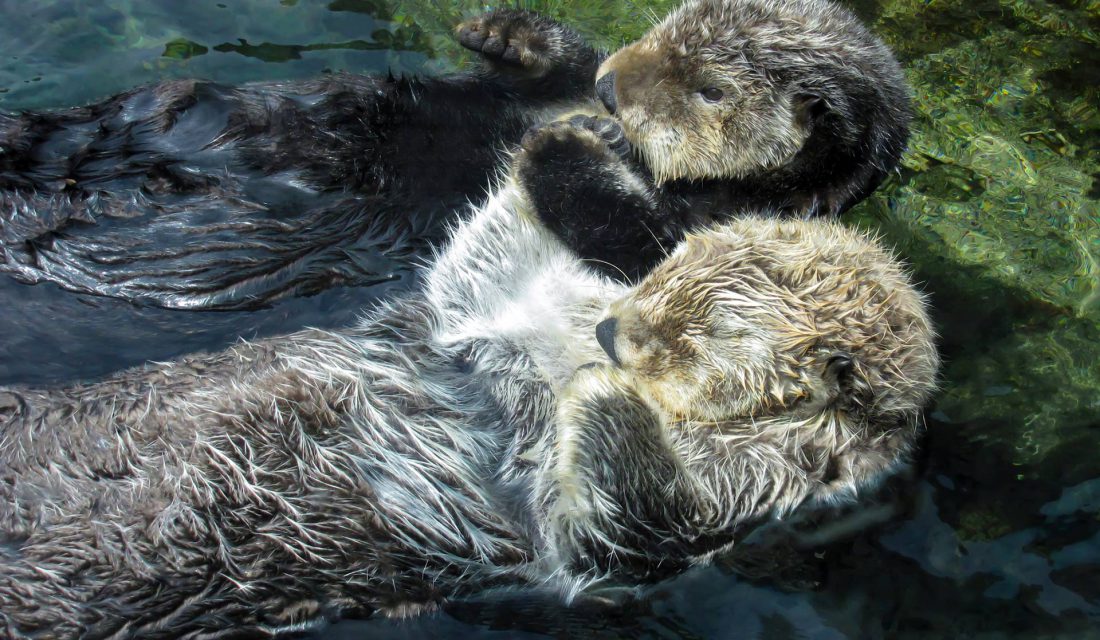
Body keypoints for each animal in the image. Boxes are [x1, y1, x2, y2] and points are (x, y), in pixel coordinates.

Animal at [0, 121, 937, 640]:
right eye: (668, 270)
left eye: (704, 337)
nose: (610, 335)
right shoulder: (478, 321)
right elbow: (476, 271)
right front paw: (570, 143)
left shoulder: (756, 487)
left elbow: (627, 525)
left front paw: (602, 394)